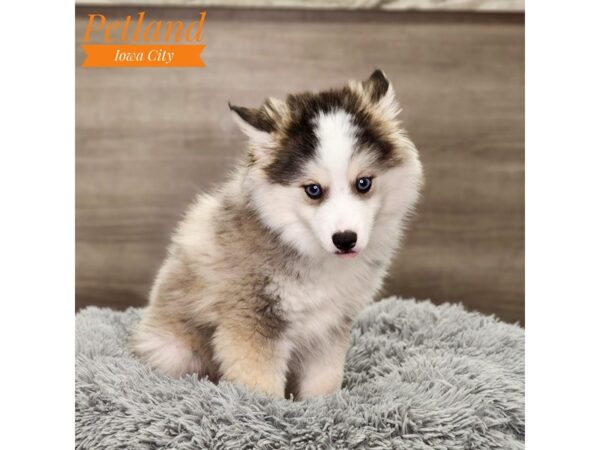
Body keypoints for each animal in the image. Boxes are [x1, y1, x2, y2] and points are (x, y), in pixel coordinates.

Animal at [131, 70, 422, 400]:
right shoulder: (251, 321)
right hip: (174, 349)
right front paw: (265, 410)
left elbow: (323, 380)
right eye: (313, 189)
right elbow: (260, 384)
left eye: (363, 183)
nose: (345, 239)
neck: (305, 248)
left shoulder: (329, 324)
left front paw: (323, 407)